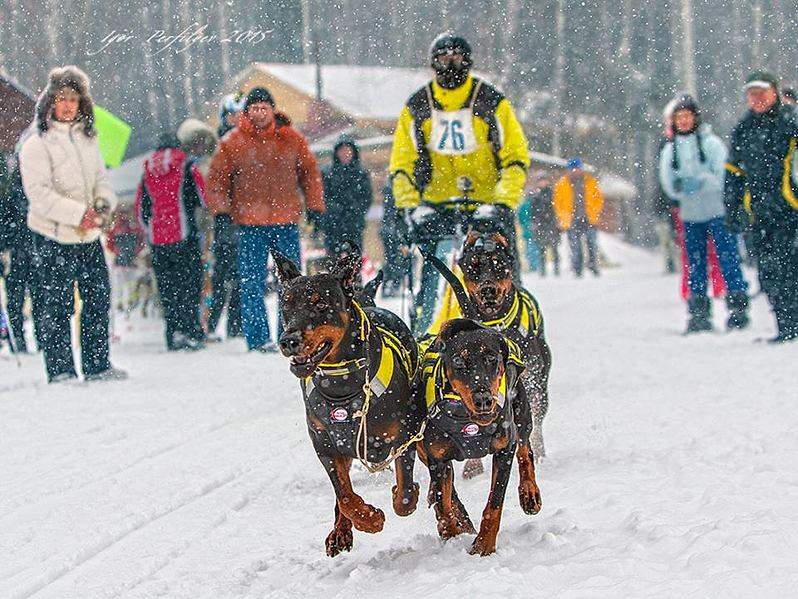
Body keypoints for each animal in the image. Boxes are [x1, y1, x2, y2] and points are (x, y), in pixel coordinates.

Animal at [274, 252, 424, 556]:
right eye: (286, 305)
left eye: (320, 303)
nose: (288, 341)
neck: (342, 388)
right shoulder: (324, 443)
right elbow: (343, 494)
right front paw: (368, 518)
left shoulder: (406, 432)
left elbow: (403, 494)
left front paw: (403, 495)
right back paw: (340, 531)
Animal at [418, 318, 544, 556]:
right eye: (458, 360)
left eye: (491, 358)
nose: (483, 398)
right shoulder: (437, 458)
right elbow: (443, 505)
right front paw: (451, 537)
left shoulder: (505, 448)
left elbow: (495, 503)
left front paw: (484, 545)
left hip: (521, 410)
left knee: (525, 448)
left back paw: (529, 493)